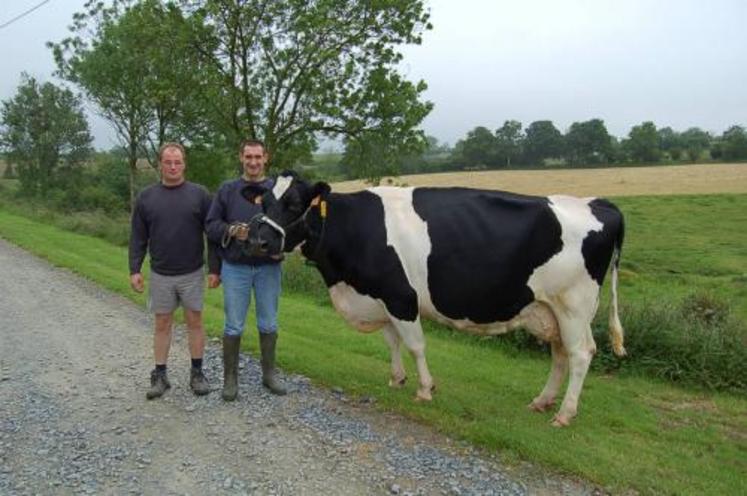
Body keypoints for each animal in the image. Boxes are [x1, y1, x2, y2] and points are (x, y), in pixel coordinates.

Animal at [245, 171, 624, 426]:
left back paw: (564, 413)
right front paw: (397, 379)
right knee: (560, 354)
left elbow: (415, 345)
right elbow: (392, 341)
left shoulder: (401, 297)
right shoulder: (381, 297)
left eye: (294, 204)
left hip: (573, 306)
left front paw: (425, 388)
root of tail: (597, 203)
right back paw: (542, 402)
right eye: (264, 202)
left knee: (580, 354)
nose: (258, 241)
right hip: (552, 310)